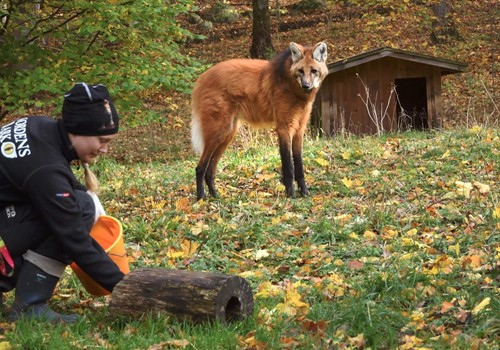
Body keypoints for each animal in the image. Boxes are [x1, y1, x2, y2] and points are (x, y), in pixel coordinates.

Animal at [191, 41, 328, 200]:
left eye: (314, 71)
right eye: (300, 71)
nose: (306, 85)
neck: (293, 88)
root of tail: (201, 78)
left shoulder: (299, 129)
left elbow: (299, 164)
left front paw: (304, 192)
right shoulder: (284, 128)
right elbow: (288, 165)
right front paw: (291, 194)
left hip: (228, 133)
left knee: (210, 169)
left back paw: (215, 195)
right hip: (219, 130)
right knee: (200, 167)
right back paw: (201, 198)